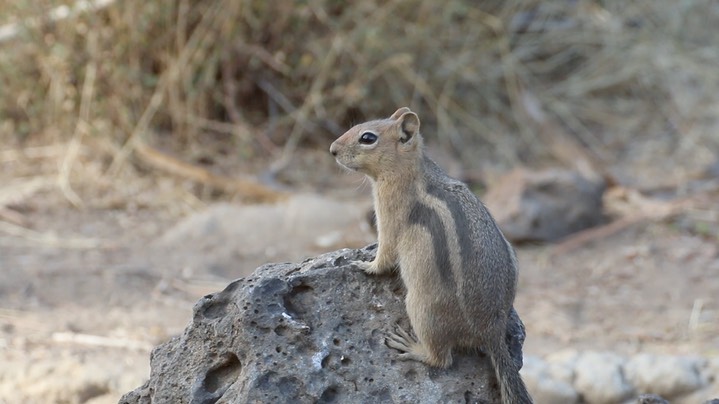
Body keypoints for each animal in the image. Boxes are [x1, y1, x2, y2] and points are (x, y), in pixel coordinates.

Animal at [332, 107, 536, 404]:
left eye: (367, 138)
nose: (332, 149)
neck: (410, 169)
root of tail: (491, 330)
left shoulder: (389, 212)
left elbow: (385, 253)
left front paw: (365, 265)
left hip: (421, 308)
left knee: (442, 359)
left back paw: (411, 347)